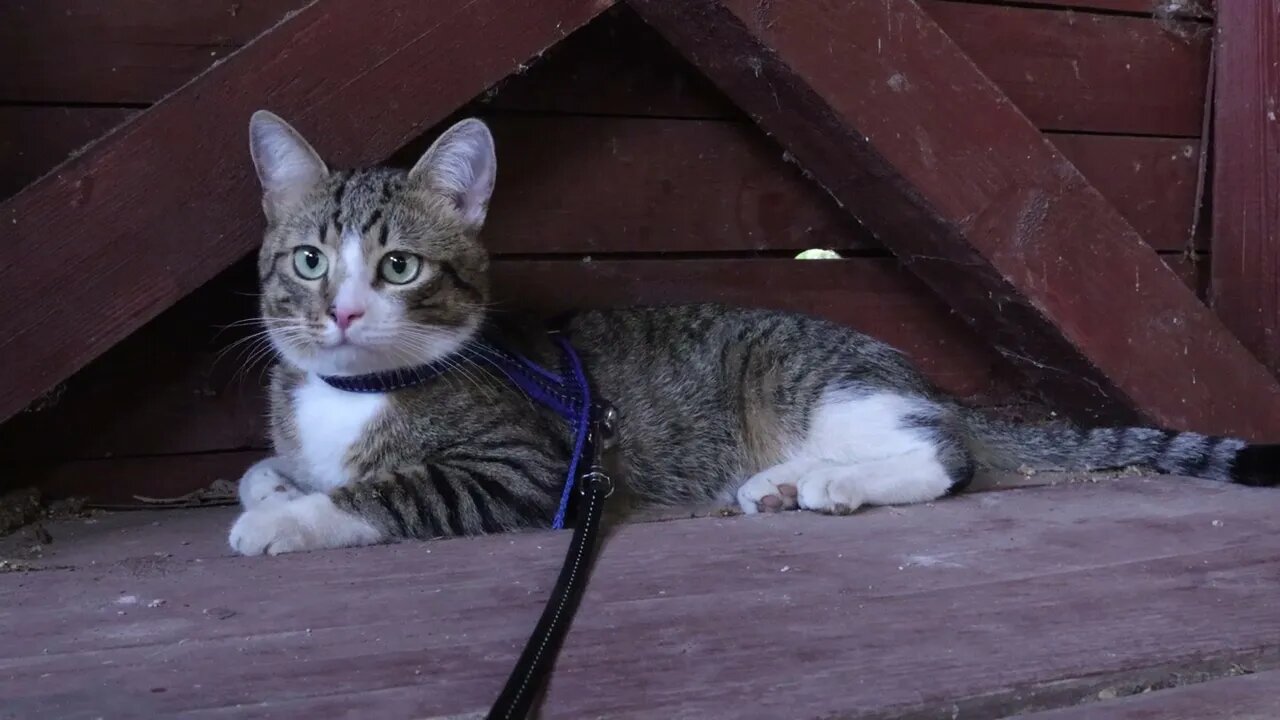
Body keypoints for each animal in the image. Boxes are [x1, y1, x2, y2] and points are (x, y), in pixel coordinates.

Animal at [230, 110, 1280, 556]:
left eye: (400, 267)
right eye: (310, 261)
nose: (342, 312)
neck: (351, 396)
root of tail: (919, 376)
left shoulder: (524, 469)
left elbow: (396, 490)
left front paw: (285, 518)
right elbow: (266, 466)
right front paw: (278, 482)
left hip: (811, 381)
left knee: (944, 453)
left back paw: (833, 483)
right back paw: (779, 485)